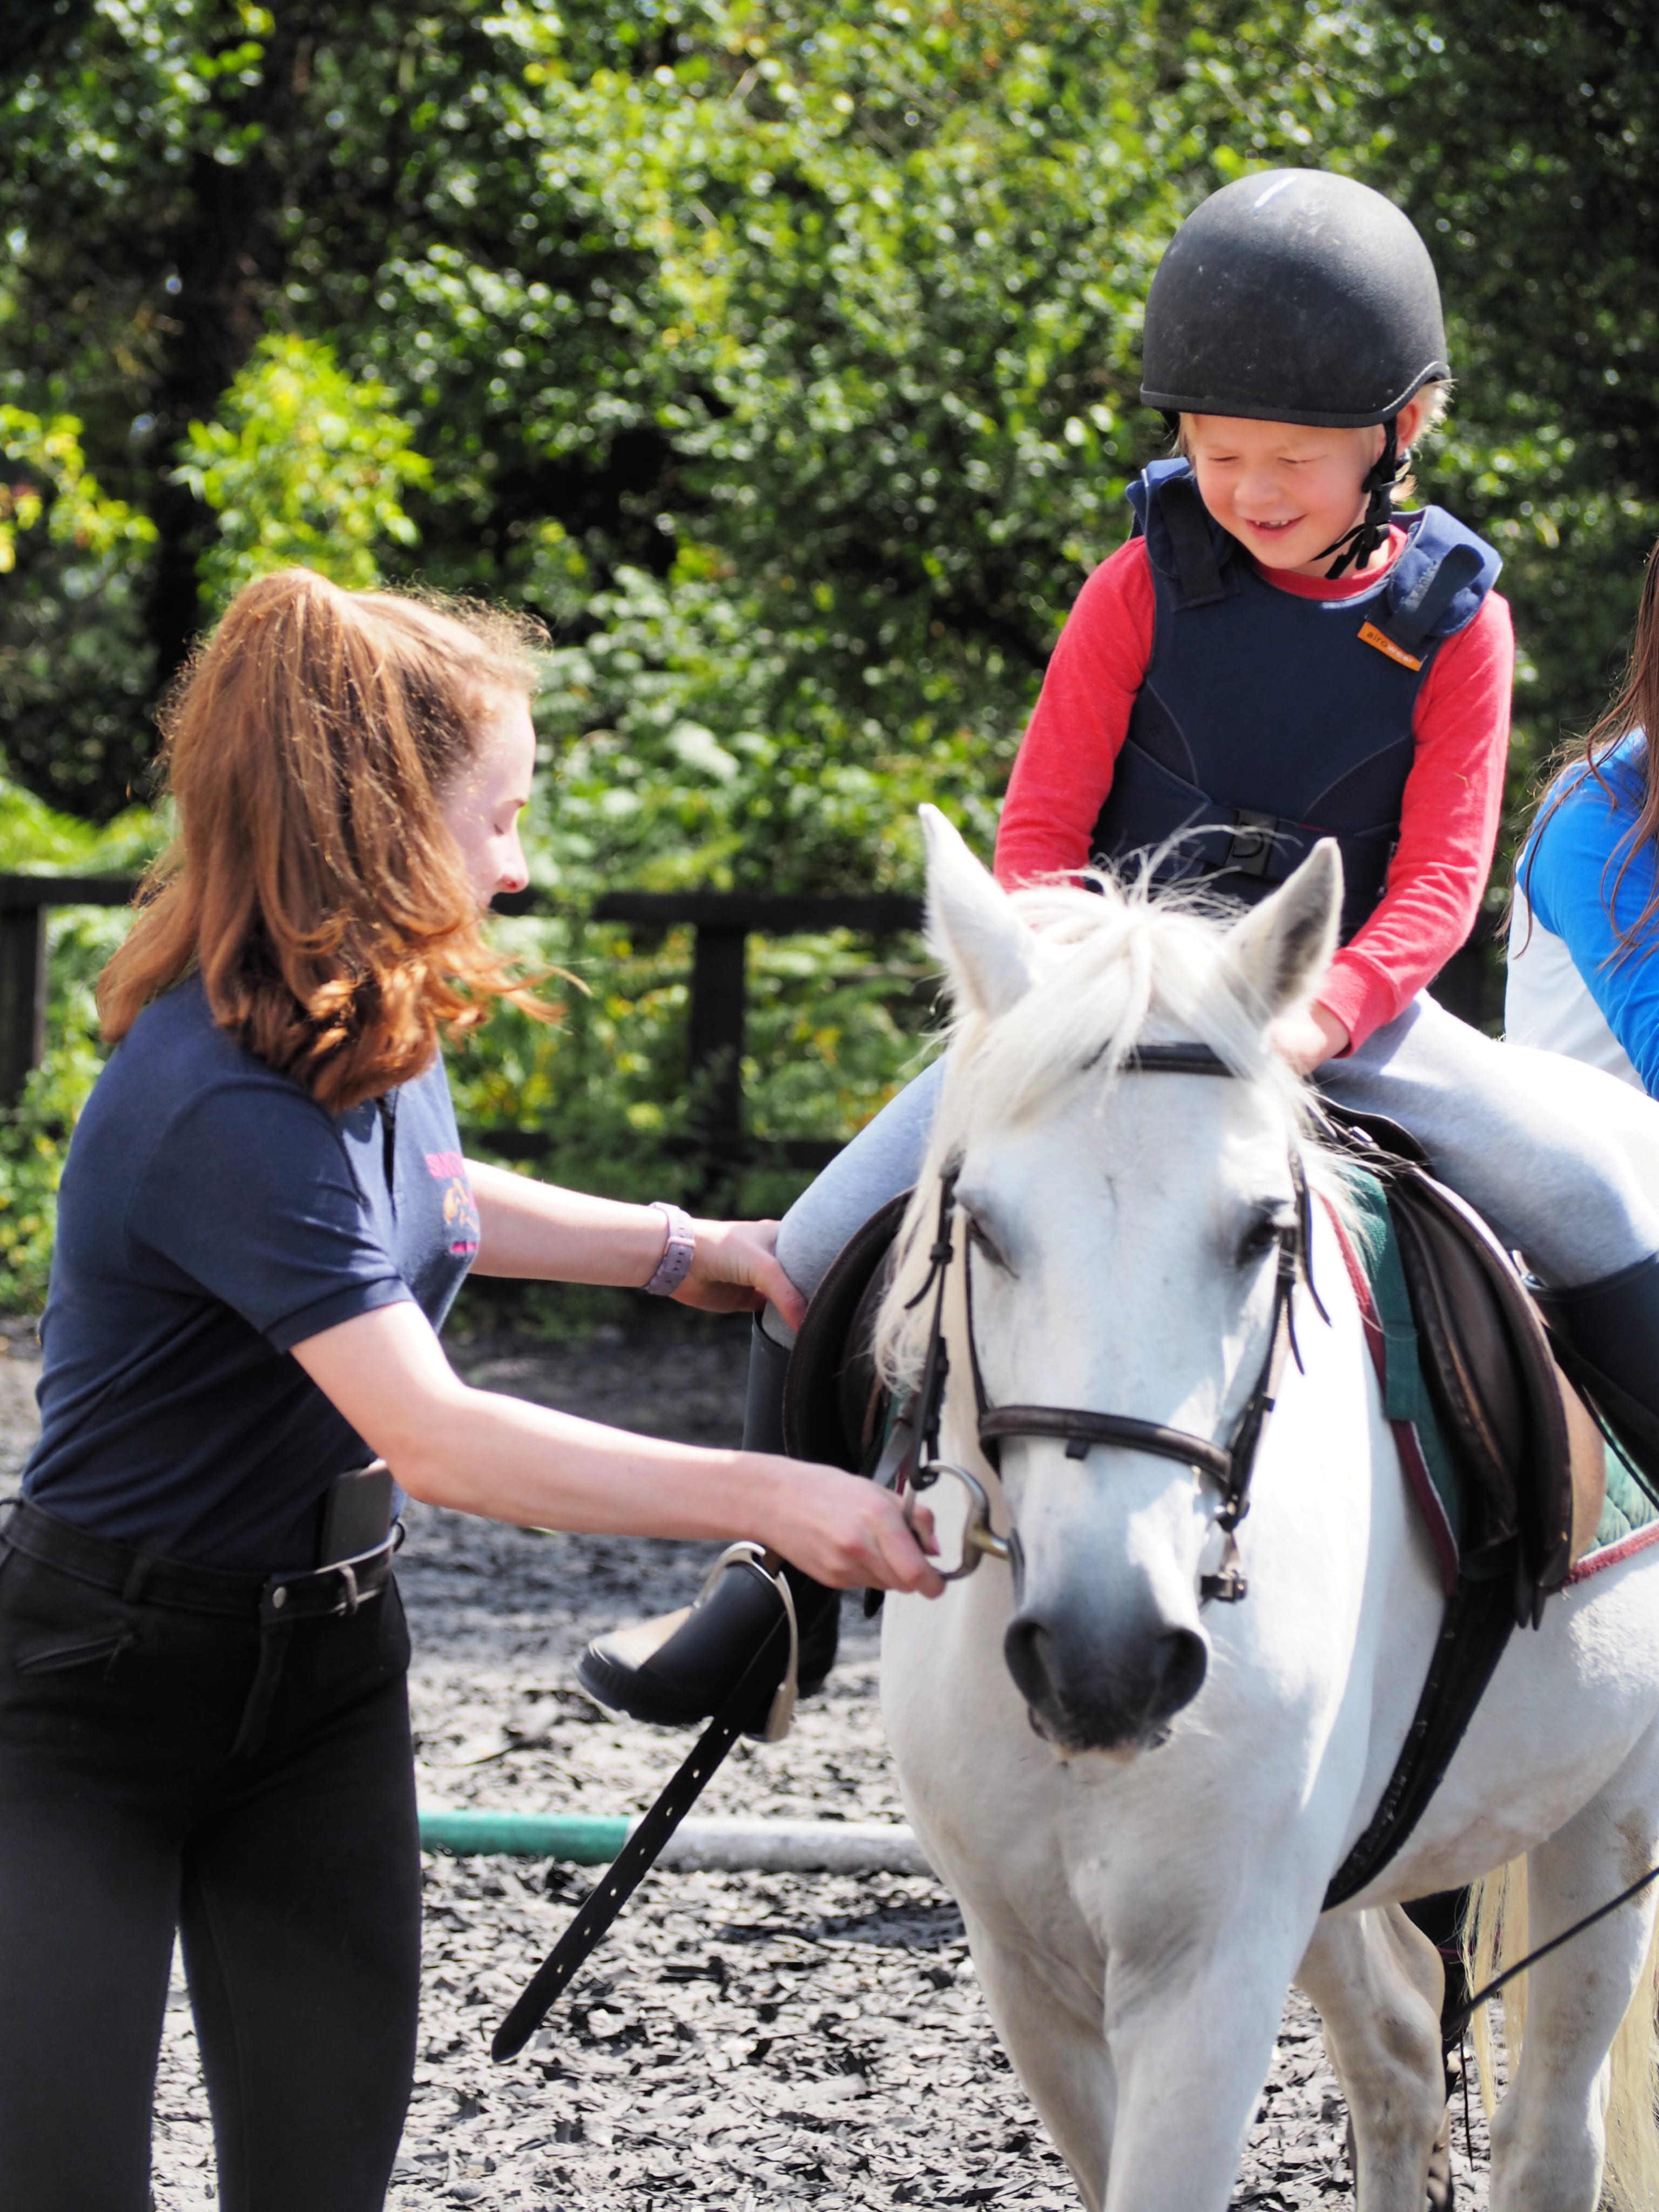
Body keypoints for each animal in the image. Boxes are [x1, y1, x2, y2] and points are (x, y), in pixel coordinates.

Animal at [885, 814, 1659, 2212]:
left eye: (1258, 1229)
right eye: (983, 1227)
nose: (1105, 1660)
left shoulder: (1209, 1970)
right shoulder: (1032, 1975)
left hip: (1604, 1817)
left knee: (1548, 2140)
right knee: (1399, 2064)